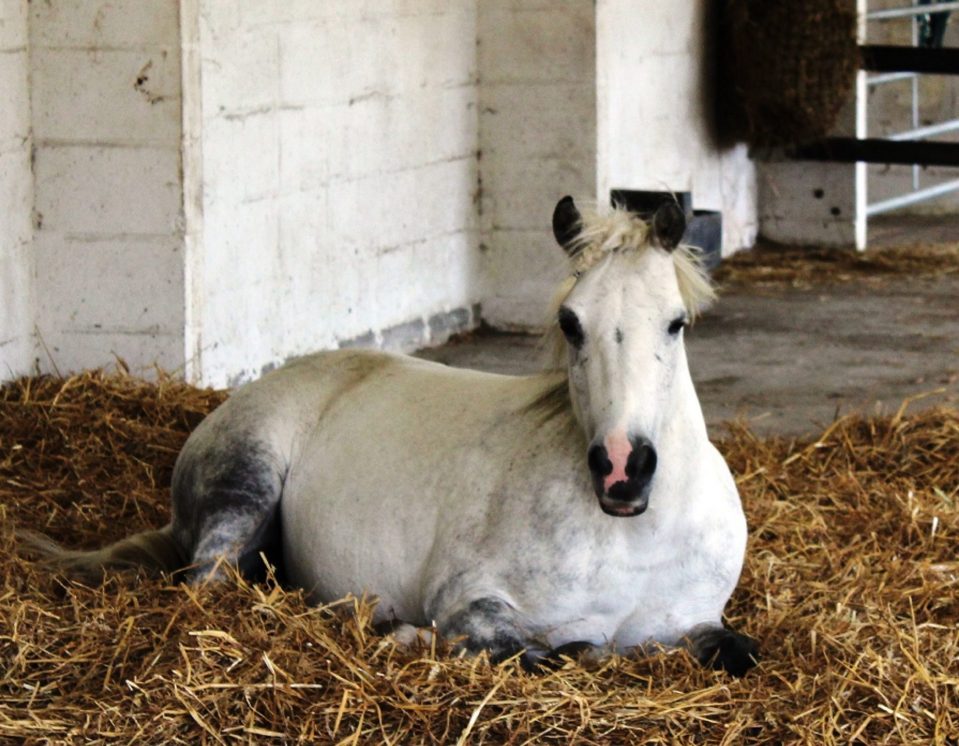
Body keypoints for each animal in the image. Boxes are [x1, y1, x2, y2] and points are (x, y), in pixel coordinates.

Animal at [30, 196, 760, 676]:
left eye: (676, 323)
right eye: (570, 322)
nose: (620, 468)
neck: (632, 540)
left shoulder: (699, 622)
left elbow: (740, 652)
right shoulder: (468, 603)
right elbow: (540, 655)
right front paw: (403, 634)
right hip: (242, 490)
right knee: (211, 589)